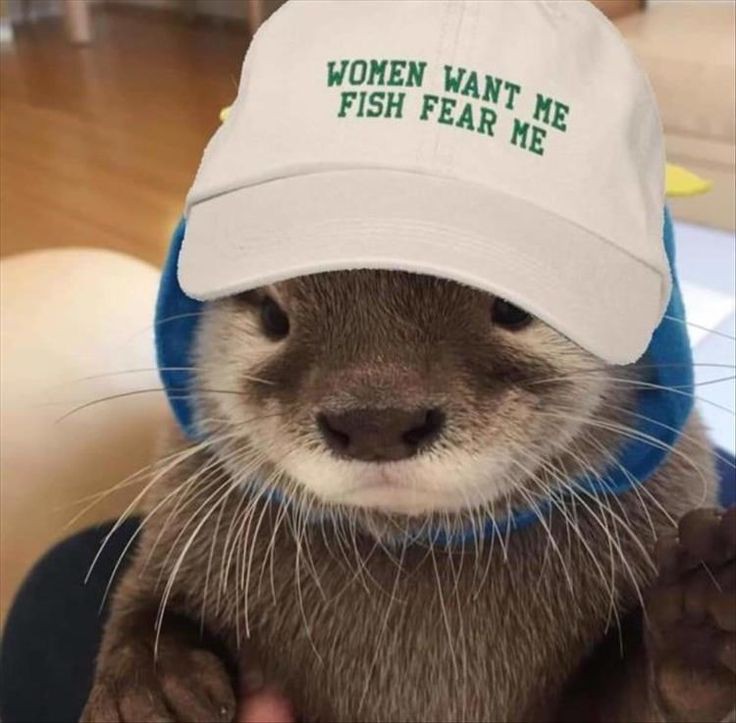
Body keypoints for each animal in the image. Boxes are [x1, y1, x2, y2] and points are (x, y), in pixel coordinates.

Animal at [81, 270, 735, 723]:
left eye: (511, 309)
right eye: (271, 314)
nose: (376, 420)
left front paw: (702, 623)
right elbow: (138, 603)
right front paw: (148, 683)